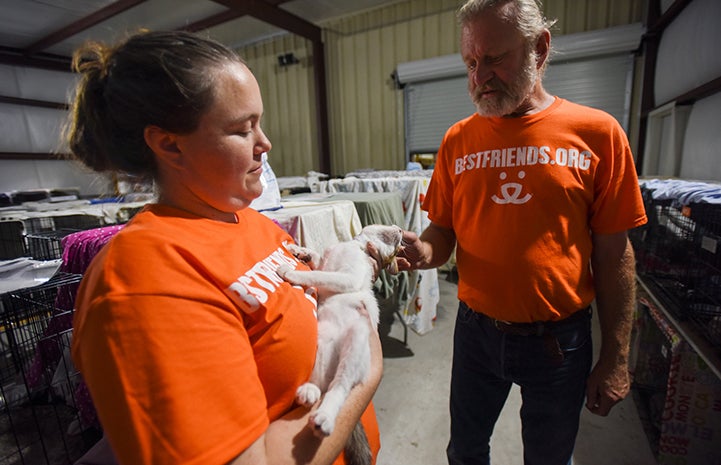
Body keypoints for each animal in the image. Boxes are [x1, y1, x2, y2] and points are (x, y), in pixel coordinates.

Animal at [276, 223, 402, 462]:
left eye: (397, 250)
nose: (400, 230)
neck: (355, 245)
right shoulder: (327, 261)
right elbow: (316, 259)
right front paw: (298, 250)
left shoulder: (347, 277)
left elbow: (317, 274)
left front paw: (290, 272)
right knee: (321, 385)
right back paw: (309, 393)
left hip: (356, 339)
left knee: (339, 386)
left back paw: (324, 416)